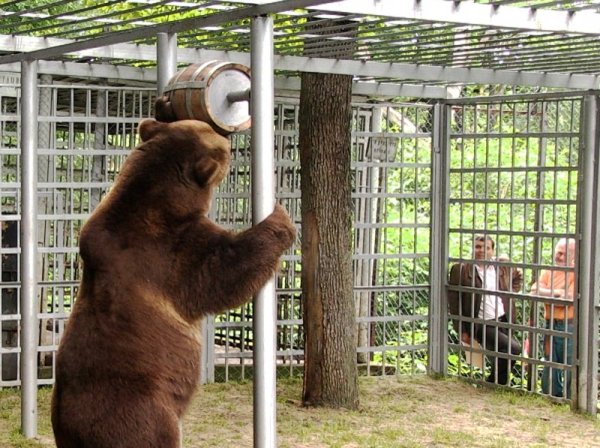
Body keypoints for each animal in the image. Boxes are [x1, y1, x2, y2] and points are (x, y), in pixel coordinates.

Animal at [51, 117, 296, 446]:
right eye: (220, 141)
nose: (228, 135)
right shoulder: (166, 255)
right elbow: (222, 270)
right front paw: (280, 217)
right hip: (143, 411)